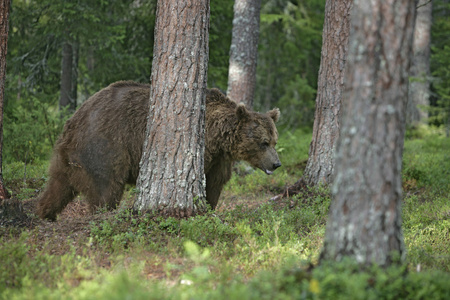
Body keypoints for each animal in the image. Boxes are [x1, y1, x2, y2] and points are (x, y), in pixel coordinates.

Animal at [37, 81, 282, 220]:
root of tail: (76, 120)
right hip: (104, 148)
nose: (276, 163)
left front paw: (209, 208)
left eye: (274, 140)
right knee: (106, 189)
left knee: (57, 187)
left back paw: (45, 214)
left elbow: (214, 186)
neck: (217, 139)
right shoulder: (205, 152)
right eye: (263, 142)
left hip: (68, 157)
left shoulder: (218, 160)